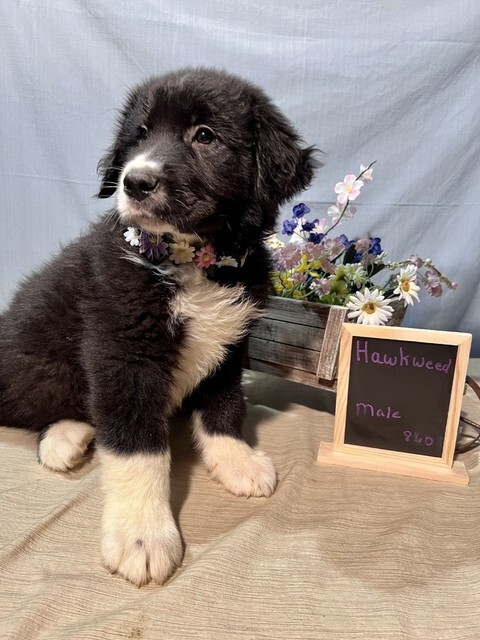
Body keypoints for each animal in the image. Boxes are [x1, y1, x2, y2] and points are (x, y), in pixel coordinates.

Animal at [0, 69, 316, 584]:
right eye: (140, 135)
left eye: (204, 136)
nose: (136, 181)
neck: (193, 259)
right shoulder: (124, 351)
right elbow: (138, 447)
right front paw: (141, 536)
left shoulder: (230, 345)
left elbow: (225, 407)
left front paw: (236, 461)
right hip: (41, 364)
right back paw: (64, 439)